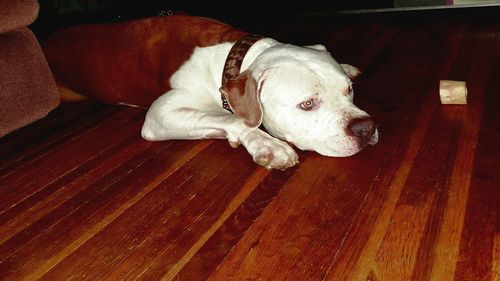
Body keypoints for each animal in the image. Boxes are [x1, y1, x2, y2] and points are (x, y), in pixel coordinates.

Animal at [43, 14, 376, 168]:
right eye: (307, 104)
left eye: (349, 91)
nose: (366, 128)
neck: (234, 55)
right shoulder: (160, 113)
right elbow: (232, 118)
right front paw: (266, 144)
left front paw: (346, 65)